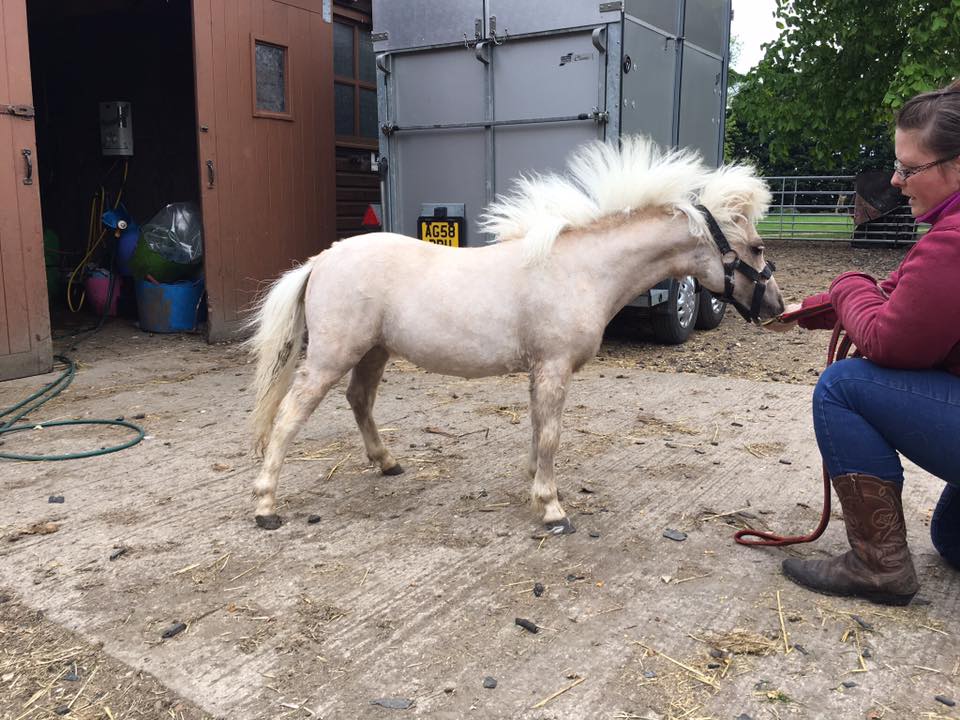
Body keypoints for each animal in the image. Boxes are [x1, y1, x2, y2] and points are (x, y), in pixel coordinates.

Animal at [245, 135, 784, 533]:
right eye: (757, 247)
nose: (777, 308)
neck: (580, 269)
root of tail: (321, 260)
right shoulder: (554, 368)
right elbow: (550, 434)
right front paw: (551, 510)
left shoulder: (540, 370)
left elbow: (537, 430)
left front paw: (536, 487)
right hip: (332, 357)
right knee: (290, 416)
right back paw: (266, 505)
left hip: (374, 351)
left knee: (359, 399)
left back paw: (387, 463)